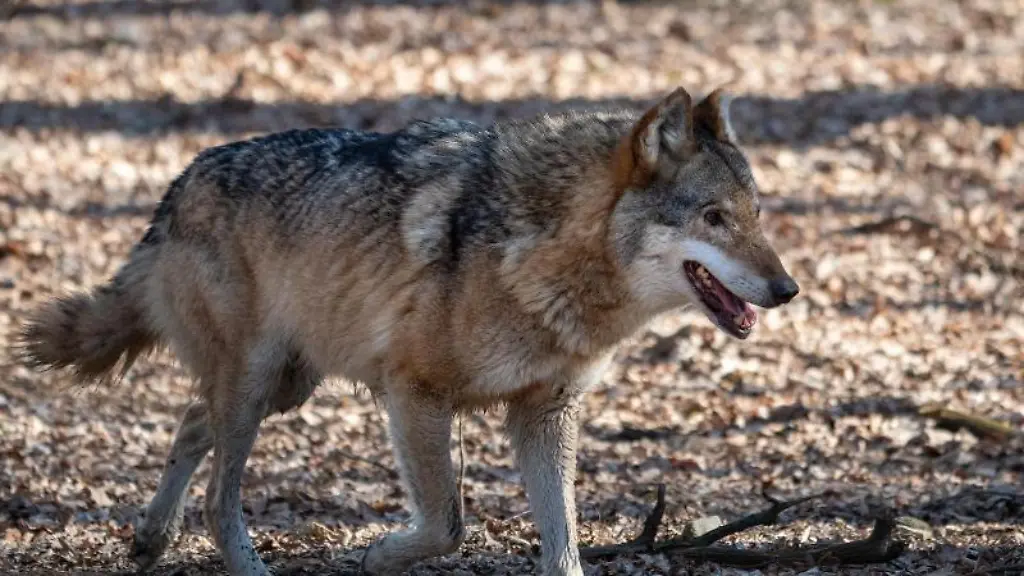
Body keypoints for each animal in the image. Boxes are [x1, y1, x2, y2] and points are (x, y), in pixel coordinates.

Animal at [16, 86, 799, 576]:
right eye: (713, 218)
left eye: (756, 215)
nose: (787, 290)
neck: (546, 253)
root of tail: (177, 186)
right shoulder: (415, 395)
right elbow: (446, 524)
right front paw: (375, 557)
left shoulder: (545, 413)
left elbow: (566, 547)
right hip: (256, 386)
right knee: (218, 496)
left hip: (284, 387)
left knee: (186, 423)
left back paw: (151, 539)